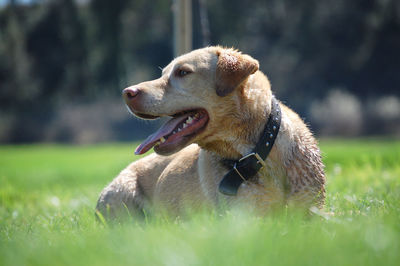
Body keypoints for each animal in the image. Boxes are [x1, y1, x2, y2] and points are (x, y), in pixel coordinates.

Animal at [96, 46, 324, 220]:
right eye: (163, 74)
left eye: (183, 72)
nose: (126, 93)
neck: (257, 153)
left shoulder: (314, 212)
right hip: (123, 198)